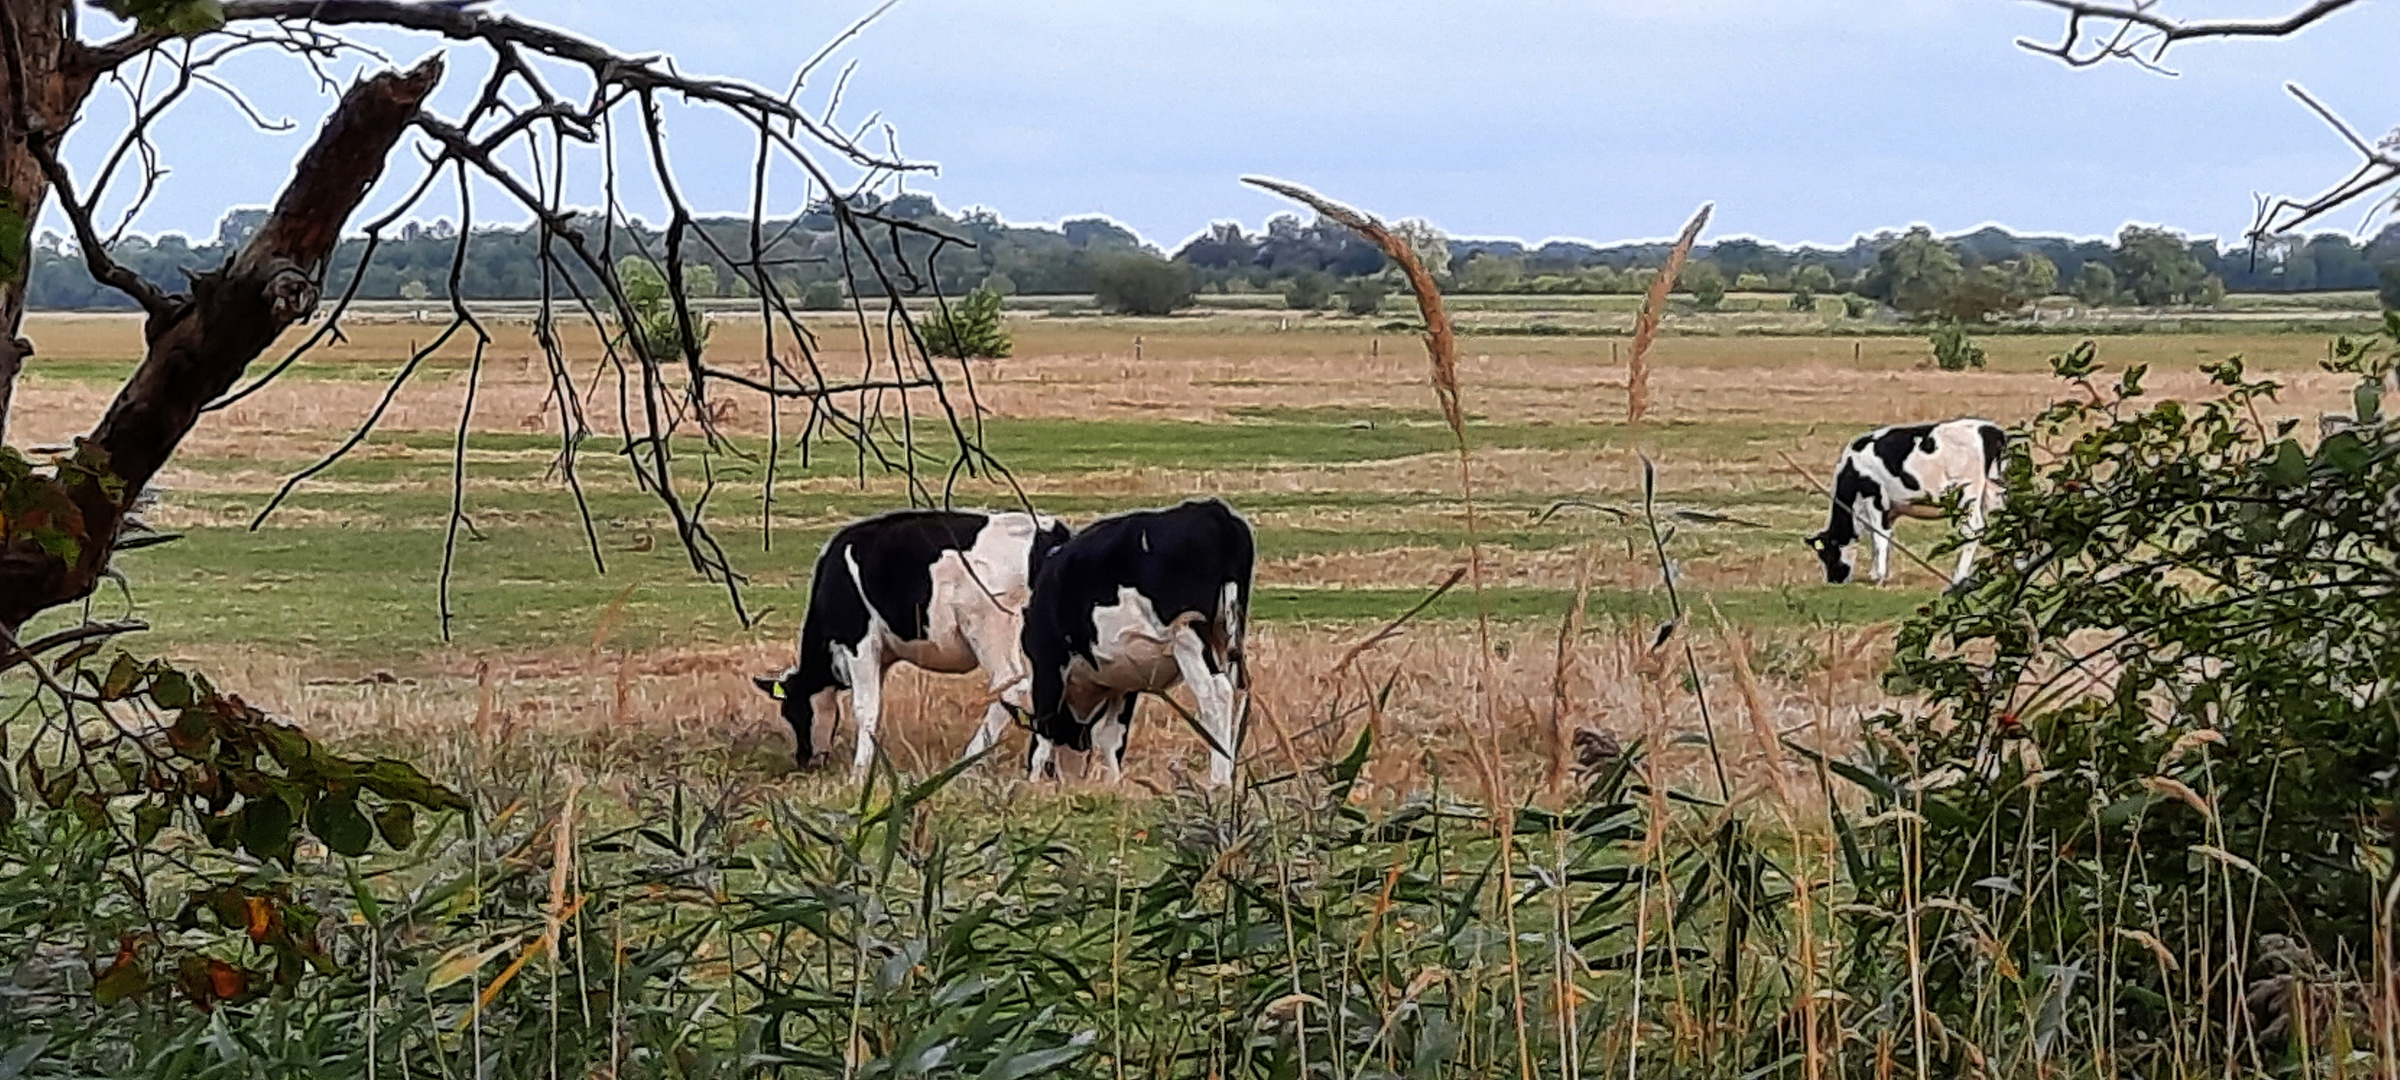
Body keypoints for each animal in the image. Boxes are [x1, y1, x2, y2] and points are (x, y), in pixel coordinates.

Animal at [753, 508, 1075, 777]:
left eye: (791, 712)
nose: (804, 761)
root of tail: (1049, 531)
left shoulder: (859, 642)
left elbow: (866, 707)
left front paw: (859, 774)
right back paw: (1039, 770)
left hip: (991, 630)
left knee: (1012, 688)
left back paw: (969, 763)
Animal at [1022, 496, 1257, 782]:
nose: (1068, 779)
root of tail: (1214, 510)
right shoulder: (1123, 679)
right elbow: (1111, 737)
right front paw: (1114, 783)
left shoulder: (1047, 662)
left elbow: (1043, 732)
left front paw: (1032, 784)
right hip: (1230, 634)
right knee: (1240, 691)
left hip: (1190, 633)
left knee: (1216, 693)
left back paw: (1218, 780)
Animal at [1804, 420, 2016, 585]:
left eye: (1827, 554)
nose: (1833, 580)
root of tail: (1991, 431)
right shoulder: (1890, 510)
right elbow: (1881, 537)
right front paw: (1876, 572)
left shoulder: (1874, 497)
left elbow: (1879, 535)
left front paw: (1879, 576)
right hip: (1995, 489)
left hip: (1968, 491)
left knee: (1973, 529)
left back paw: (1959, 577)